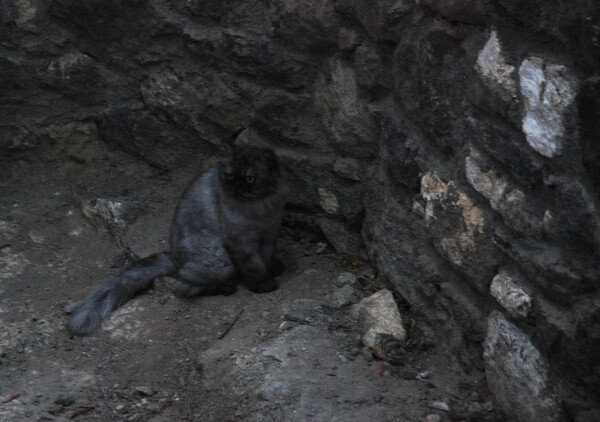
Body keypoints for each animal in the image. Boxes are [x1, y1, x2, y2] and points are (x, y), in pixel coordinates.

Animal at [69, 143, 284, 334]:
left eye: (250, 179)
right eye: (229, 175)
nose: (236, 187)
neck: (259, 208)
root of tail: (175, 258)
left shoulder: (269, 234)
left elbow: (265, 258)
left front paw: (272, 270)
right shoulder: (240, 241)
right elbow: (253, 265)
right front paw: (263, 285)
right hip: (217, 256)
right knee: (183, 285)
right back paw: (226, 286)